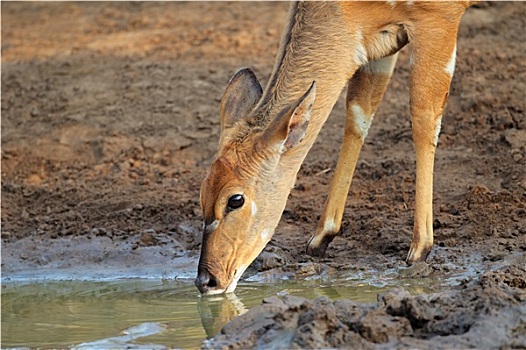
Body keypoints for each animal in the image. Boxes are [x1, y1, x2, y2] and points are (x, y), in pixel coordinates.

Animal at [196, 1, 476, 294]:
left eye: (235, 199)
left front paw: (419, 250)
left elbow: (424, 119)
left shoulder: (438, 20)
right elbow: (358, 114)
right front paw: (320, 238)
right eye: (202, 193)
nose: (206, 280)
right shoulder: (377, 47)